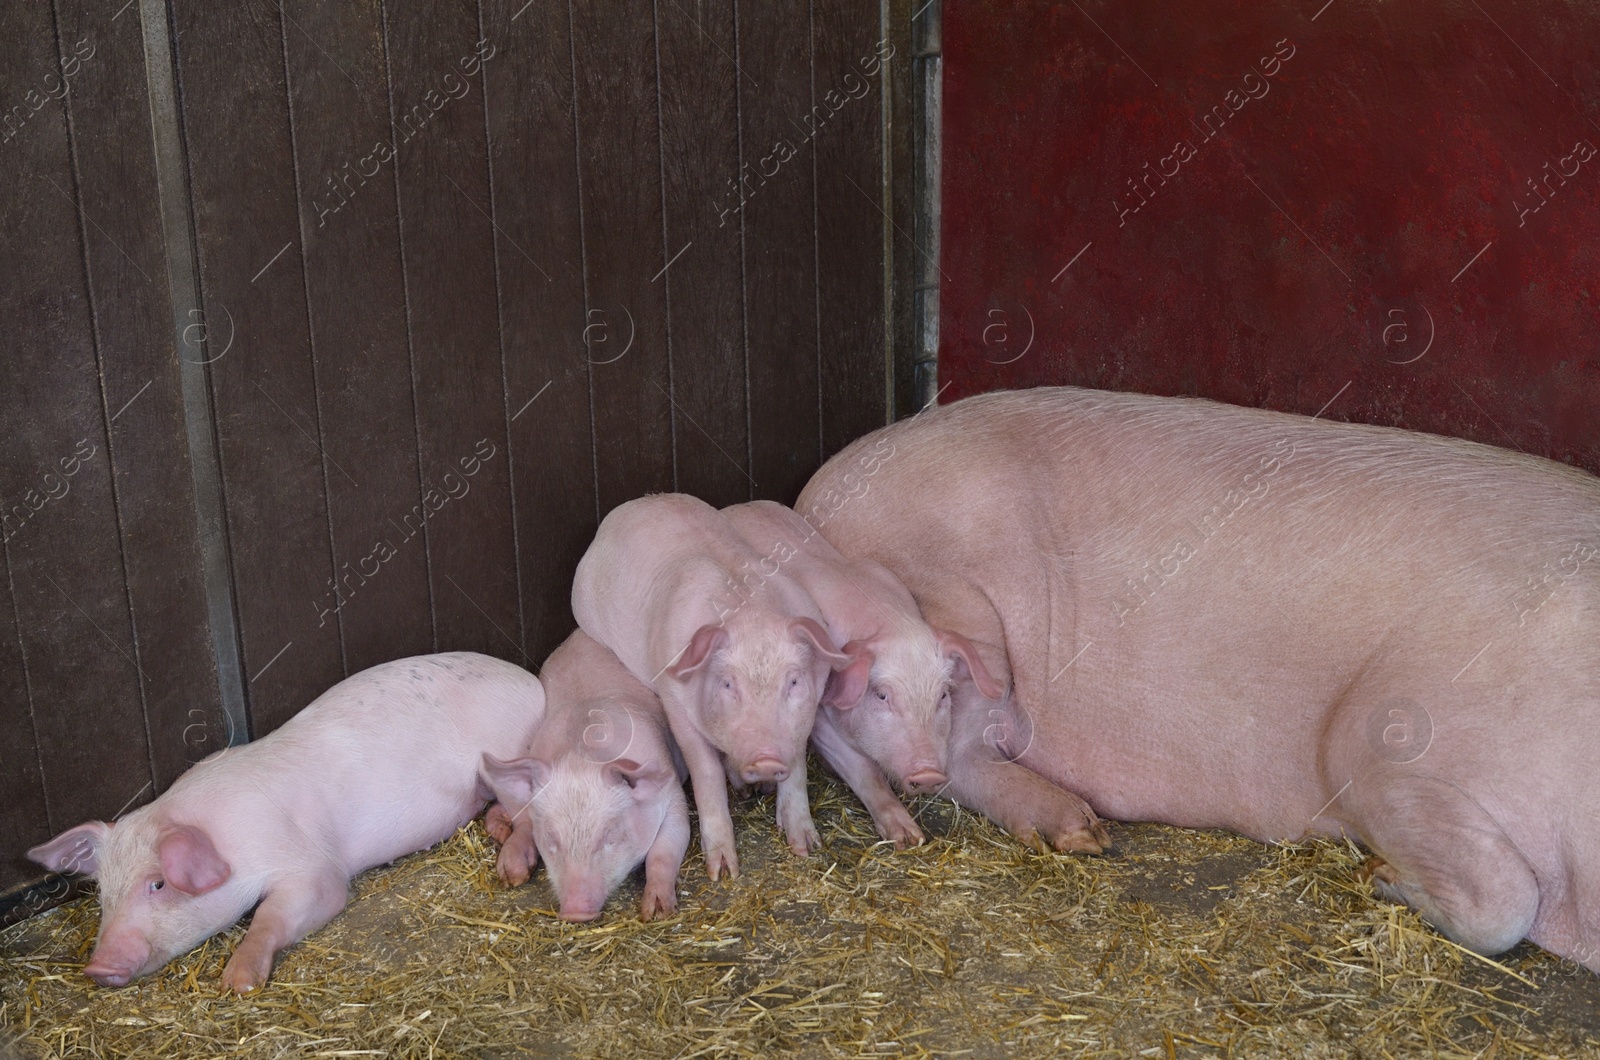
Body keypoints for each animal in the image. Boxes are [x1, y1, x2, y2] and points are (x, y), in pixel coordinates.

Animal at [29, 653, 544, 992]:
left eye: (157, 884)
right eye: (103, 893)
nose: (96, 968)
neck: (227, 838)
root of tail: (532, 684)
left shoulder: (313, 869)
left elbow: (275, 913)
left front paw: (237, 983)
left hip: (502, 758)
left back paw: (511, 871)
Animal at [473, 630, 688, 922]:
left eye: (609, 835)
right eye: (551, 839)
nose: (575, 912)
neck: (584, 755)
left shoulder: (672, 790)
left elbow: (667, 846)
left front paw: (655, 911)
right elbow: (526, 821)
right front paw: (512, 875)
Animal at [572, 496, 851, 877]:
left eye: (794, 680)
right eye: (727, 683)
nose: (765, 759)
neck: (751, 613)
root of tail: (639, 502)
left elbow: (796, 769)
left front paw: (805, 847)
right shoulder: (676, 704)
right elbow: (706, 774)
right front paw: (723, 872)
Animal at [726, 502, 998, 851]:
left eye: (943, 695)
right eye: (881, 694)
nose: (928, 775)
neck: (889, 622)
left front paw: (914, 839)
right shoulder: (820, 714)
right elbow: (864, 770)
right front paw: (906, 838)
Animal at [800, 390, 1600, 973]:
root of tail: (813, 495)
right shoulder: (1380, 742)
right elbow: (1505, 904)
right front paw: (1381, 875)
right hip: (949, 622)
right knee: (936, 758)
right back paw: (1078, 830)